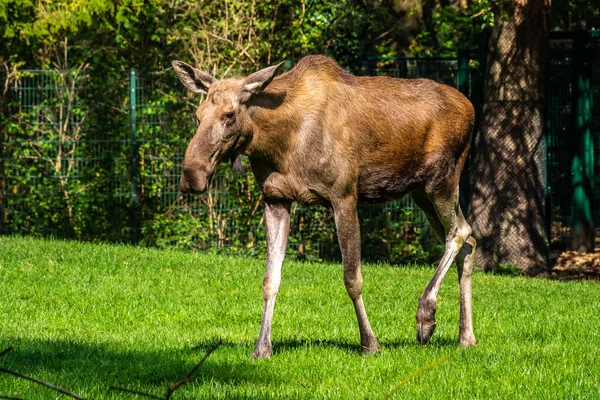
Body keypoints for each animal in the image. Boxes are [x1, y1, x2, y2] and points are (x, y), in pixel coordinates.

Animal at [173, 54, 478, 358]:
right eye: (198, 115)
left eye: (230, 115)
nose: (191, 175)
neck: (279, 145)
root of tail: (472, 108)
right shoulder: (275, 198)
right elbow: (270, 280)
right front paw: (262, 347)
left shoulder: (343, 195)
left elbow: (352, 278)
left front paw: (370, 343)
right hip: (420, 193)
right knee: (469, 240)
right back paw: (466, 337)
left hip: (441, 181)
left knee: (460, 232)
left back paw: (426, 316)